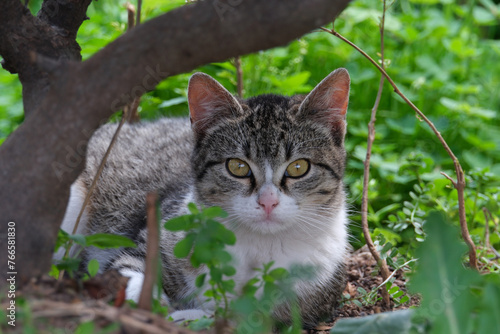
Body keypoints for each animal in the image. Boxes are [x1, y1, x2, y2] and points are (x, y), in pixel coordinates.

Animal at [57, 67, 352, 326]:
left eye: (299, 167)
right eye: (237, 167)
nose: (268, 202)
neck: (259, 245)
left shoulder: (306, 297)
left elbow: (245, 316)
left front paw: (189, 316)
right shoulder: (147, 242)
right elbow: (129, 273)